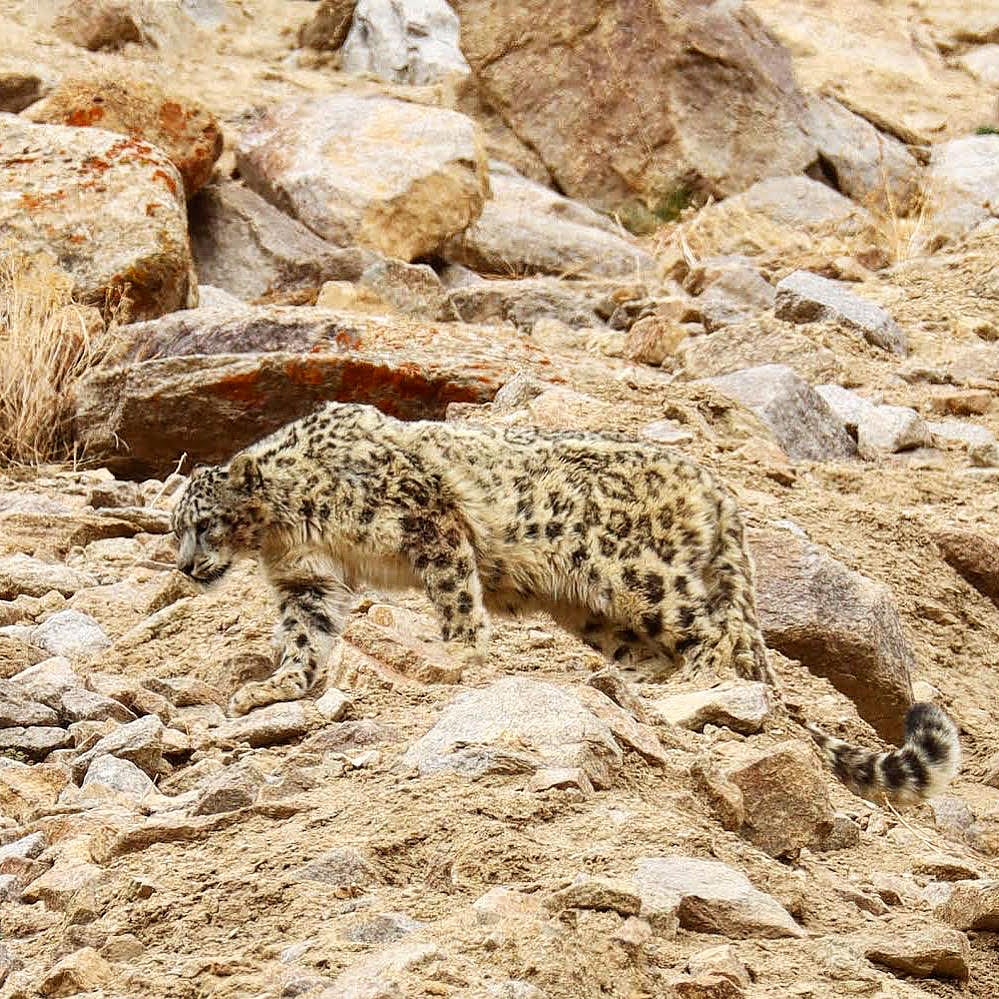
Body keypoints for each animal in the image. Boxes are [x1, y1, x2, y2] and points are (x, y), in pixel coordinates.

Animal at [171, 401, 960, 804]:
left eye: (203, 523)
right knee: (671, 646)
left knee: (716, 632)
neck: (288, 527)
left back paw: (692, 686)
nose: (185, 566)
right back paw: (625, 681)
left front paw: (458, 655)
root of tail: (712, 481)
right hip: (595, 610)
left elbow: (456, 598)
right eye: (173, 527)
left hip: (635, 573)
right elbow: (305, 638)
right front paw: (272, 688)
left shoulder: (429, 522)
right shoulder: (306, 582)